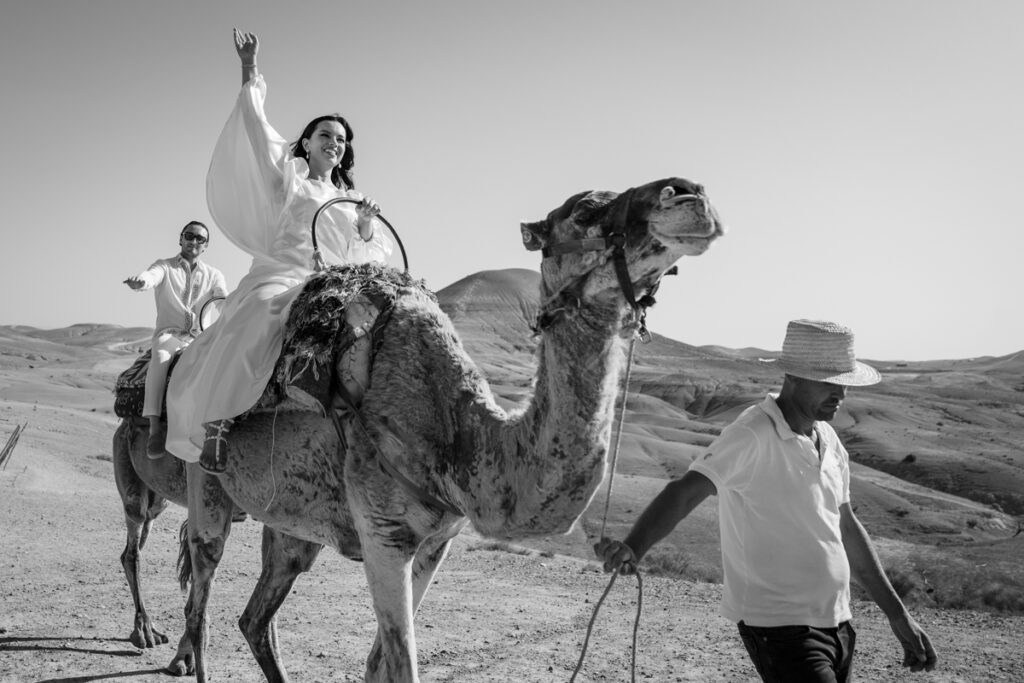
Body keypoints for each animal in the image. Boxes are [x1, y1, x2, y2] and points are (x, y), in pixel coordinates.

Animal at [114, 178, 720, 683]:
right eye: (585, 210)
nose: (689, 194)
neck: (458, 436)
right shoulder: (385, 534)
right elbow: (402, 664)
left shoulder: (437, 543)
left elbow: (378, 664)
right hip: (202, 482)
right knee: (199, 592)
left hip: (290, 525)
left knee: (254, 617)